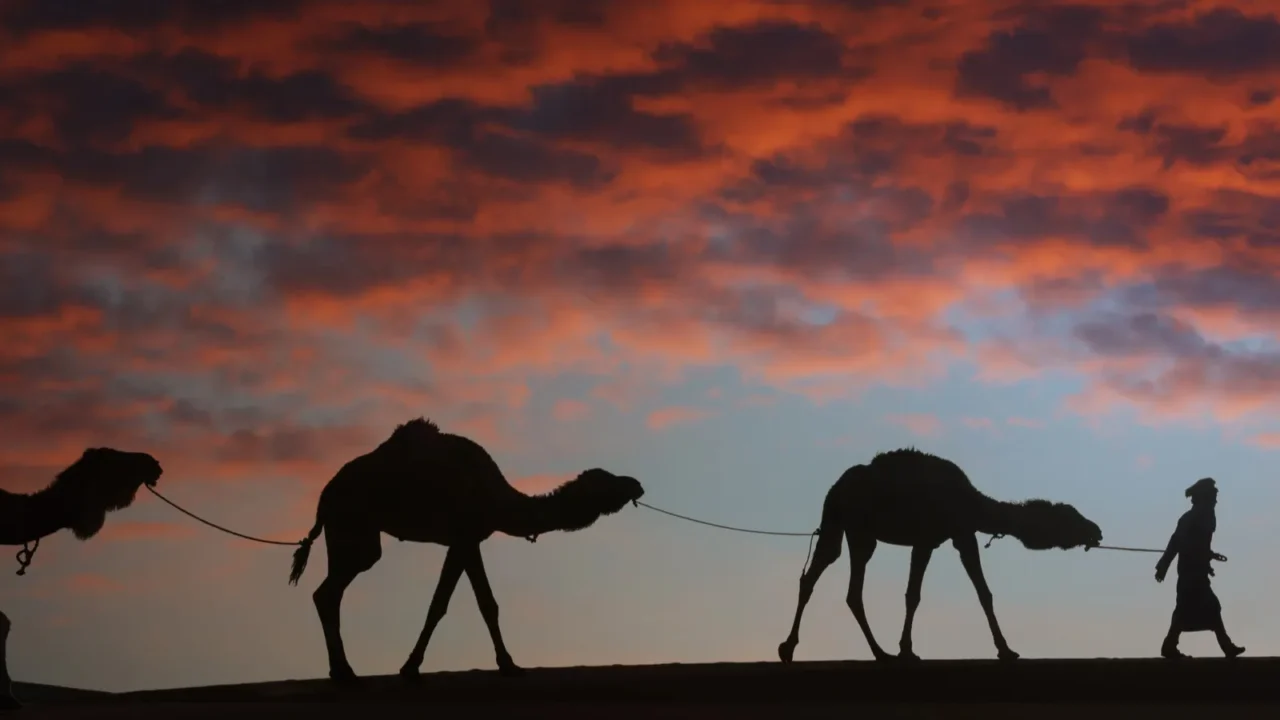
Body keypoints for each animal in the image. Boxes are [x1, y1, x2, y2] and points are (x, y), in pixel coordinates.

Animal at [287, 417, 645, 684]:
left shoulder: (466, 540)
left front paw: (504, 664)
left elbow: (468, 603)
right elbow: (461, 603)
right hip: (352, 527)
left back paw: (341, 671)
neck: (498, 498)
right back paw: (344, 671)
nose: (636, 484)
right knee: (329, 591)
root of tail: (324, 497)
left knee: (328, 593)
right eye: (607, 481)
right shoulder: (464, 536)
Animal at [779, 448, 1103, 664]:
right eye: (1067, 516)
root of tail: (836, 488)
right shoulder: (955, 535)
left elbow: (922, 594)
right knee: (847, 588)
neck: (972, 503)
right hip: (858, 530)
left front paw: (907, 649)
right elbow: (973, 593)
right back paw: (875, 653)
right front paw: (1006, 650)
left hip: (841, 525)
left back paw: (795, 648)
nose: (1095, 530)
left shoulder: (937, 539)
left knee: (823, 573)